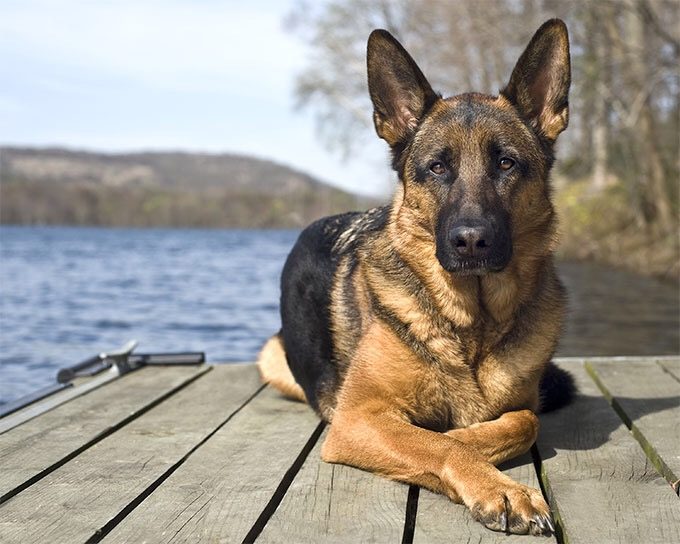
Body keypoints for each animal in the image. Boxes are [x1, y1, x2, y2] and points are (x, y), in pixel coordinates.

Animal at [258, 20, 572, 536]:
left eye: (506, 163)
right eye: (437, 167)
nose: (471, 241)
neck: (472, 324)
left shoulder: (522, 403)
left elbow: (523, 421)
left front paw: (473, 435)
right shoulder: (356, 418)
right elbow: (442, 442)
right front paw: (496, 484)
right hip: (273, 358)